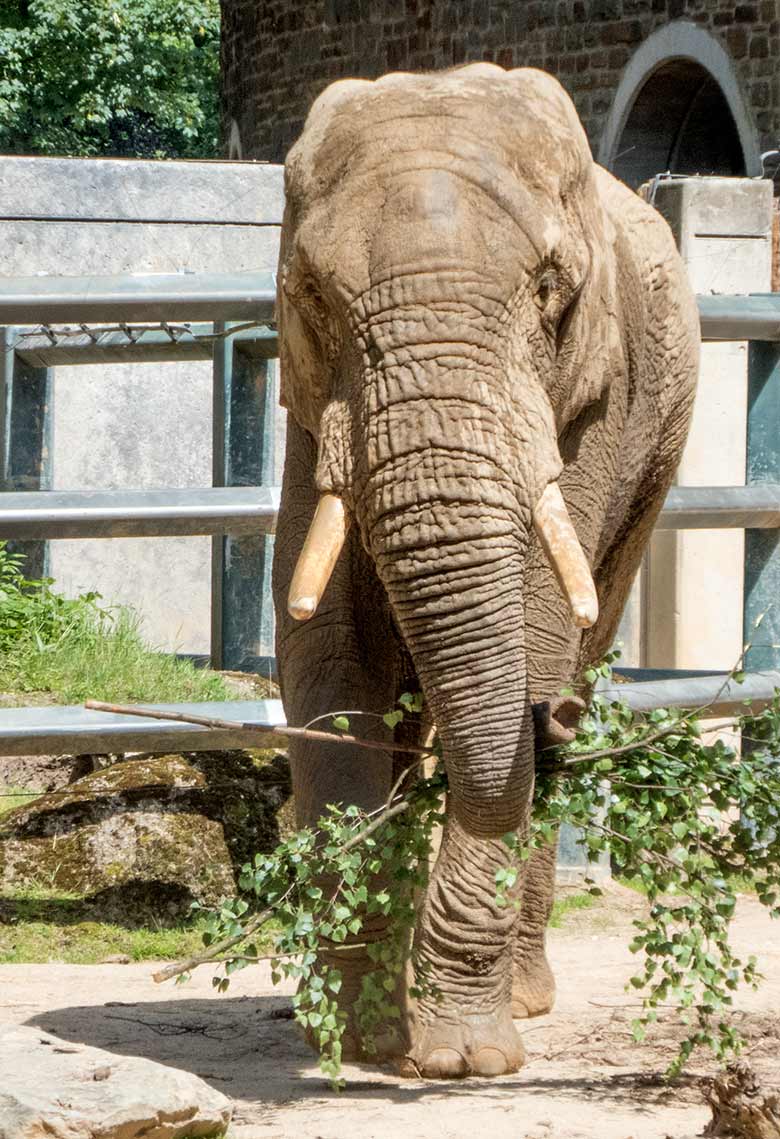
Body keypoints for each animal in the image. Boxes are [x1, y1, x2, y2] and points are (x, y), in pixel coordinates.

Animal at [271, 64, 696, 1084]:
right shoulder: (312, 403)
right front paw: (356, 1032)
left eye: (550, 291)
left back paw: (526, 999)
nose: (560, 724)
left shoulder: (593, 399)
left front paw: (463, 1056)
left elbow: (535, 632)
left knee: (581, 636)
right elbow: (324, 650)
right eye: (312, 295)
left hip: (656, 458)